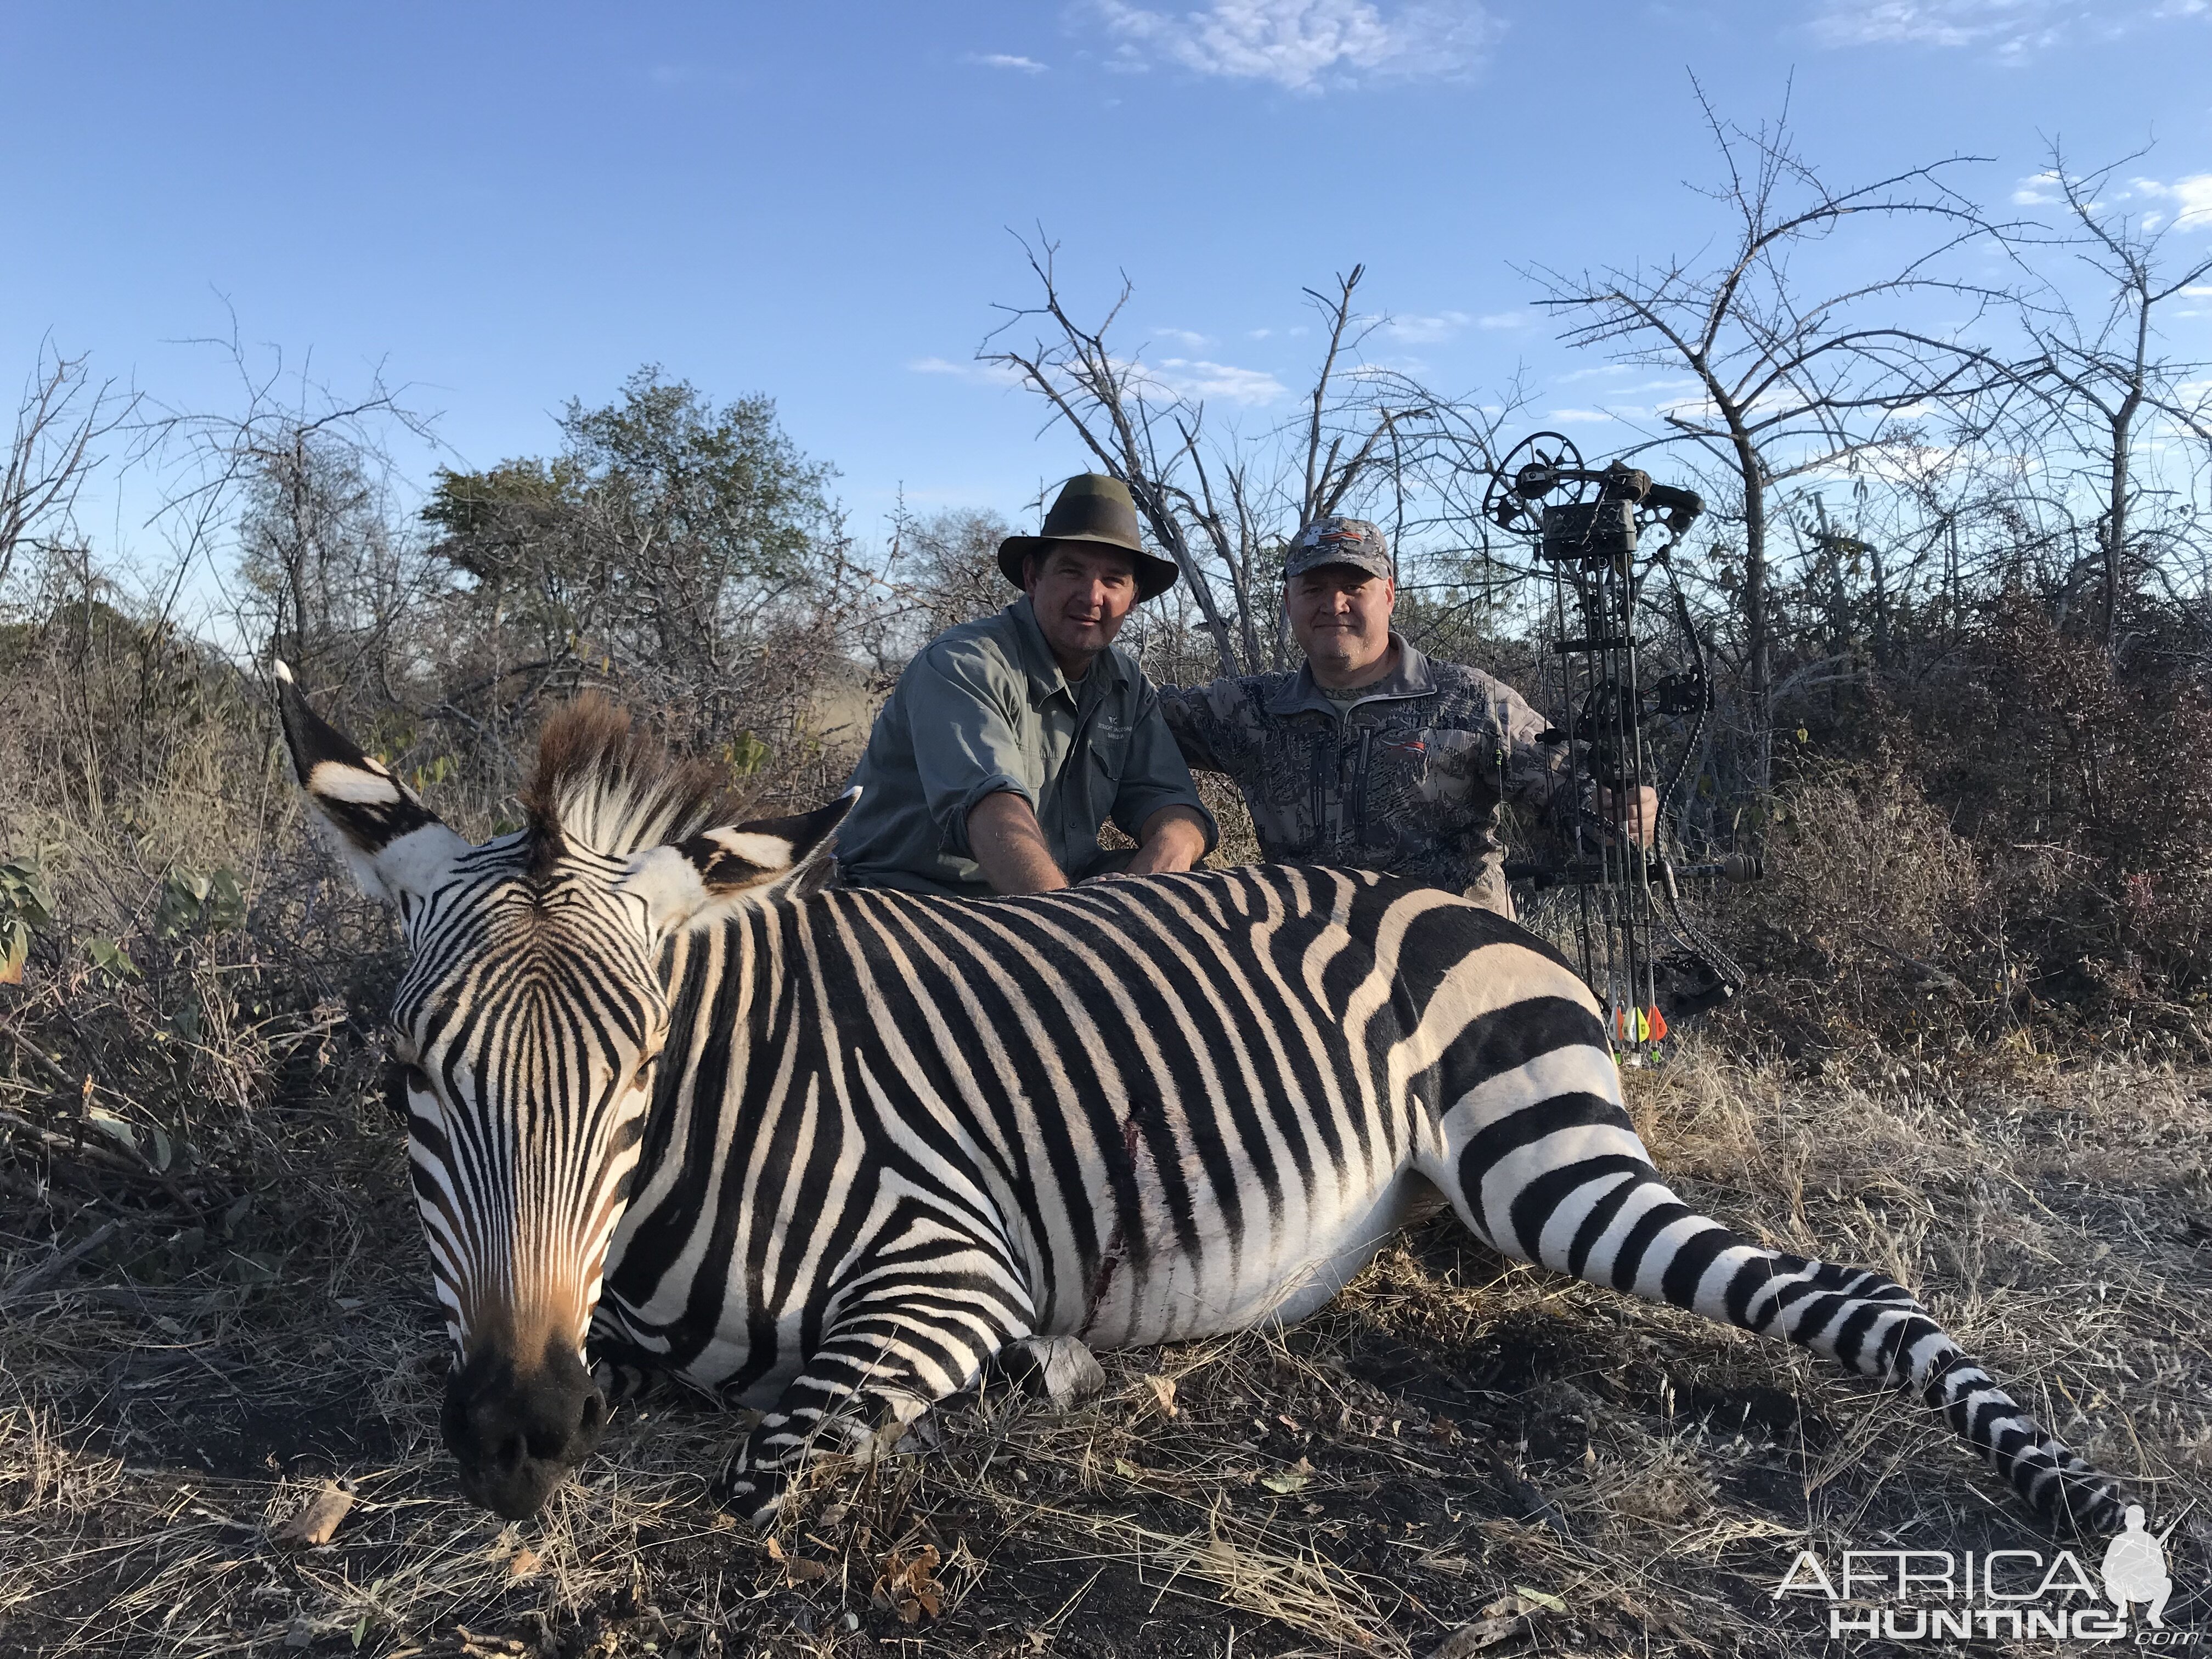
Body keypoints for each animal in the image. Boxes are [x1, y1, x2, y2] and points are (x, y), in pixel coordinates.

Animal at [276, 672, 2123, 1531]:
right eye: (407, 1081)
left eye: (638, 1078)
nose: (517, 1436)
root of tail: (1454, 900)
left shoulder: (952, 1268)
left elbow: (768, 1456)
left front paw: (1048, 1376)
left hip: (1544, 1157)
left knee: (1857, 1291)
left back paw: (2085, 1513)